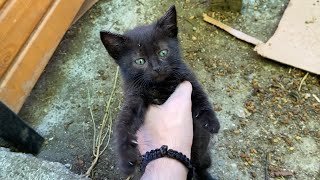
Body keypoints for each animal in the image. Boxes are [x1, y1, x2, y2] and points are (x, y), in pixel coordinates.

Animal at [100, 5, 220, 180]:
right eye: (140, 61)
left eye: (163, 52)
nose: (157, 68)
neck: (160, 86)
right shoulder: (134, 96)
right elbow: (124, 123)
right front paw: (126, 158)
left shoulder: (187, 78)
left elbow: (200, 96)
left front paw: (211, 121)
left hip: (202, 153)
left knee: (200, 165)